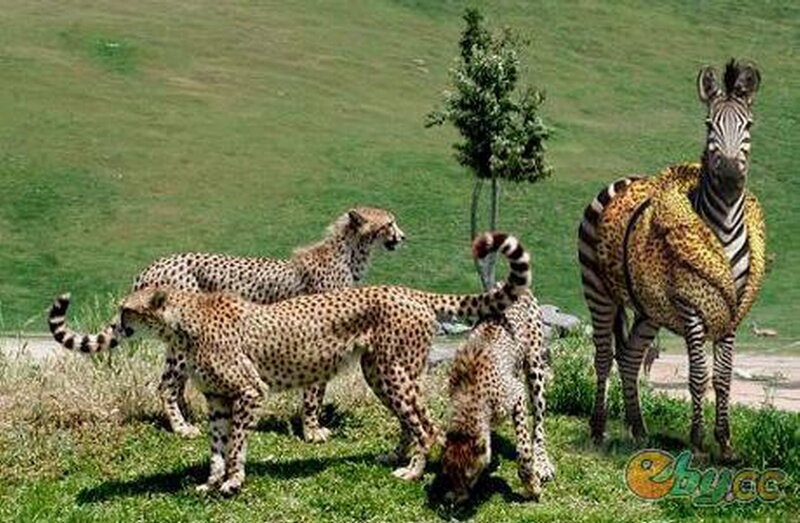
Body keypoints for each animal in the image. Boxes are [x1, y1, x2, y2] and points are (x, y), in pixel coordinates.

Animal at [577, 59, 766, 461]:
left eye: (748, 125)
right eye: (709, 125)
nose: (730, 177)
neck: (722, 230)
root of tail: (625, 180)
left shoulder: (732, 307)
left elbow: (722, 377)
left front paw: (725, 443)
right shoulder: (689, 305)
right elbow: (698, 375)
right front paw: (696, 442)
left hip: (649, 308)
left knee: (630, 357)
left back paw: (638, 429)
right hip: (597, 289)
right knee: (603, 355)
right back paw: (598, 429)